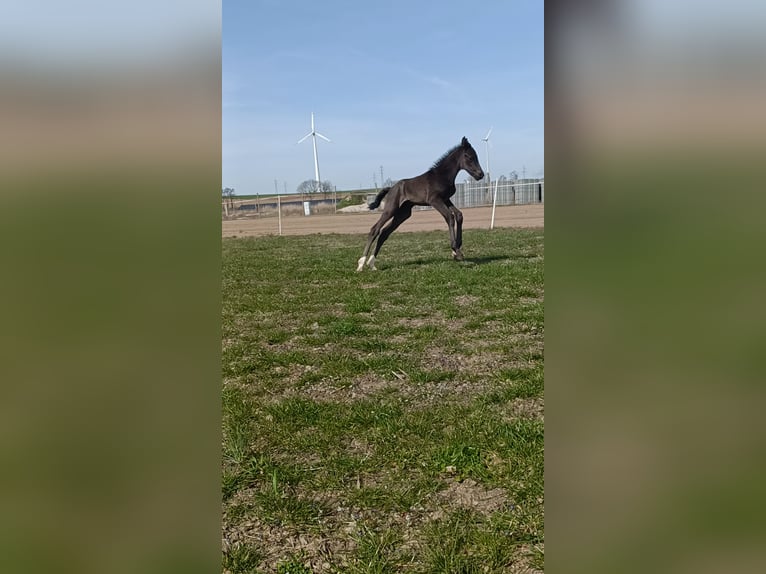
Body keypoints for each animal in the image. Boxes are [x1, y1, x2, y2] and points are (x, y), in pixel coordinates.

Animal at [356, 137, 486, 272]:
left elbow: (459, 215)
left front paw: (457, 249)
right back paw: (361, 264)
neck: (442, 175)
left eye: (476, 156)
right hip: (391, 209)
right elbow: (450, 217)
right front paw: (456, 251)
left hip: (403, 214)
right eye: (469, 157)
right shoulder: (435, 200)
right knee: (375, 229)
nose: (480, 174)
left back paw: (372, 263)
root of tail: (391, 188)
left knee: (384, 233)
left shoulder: (446, 199)